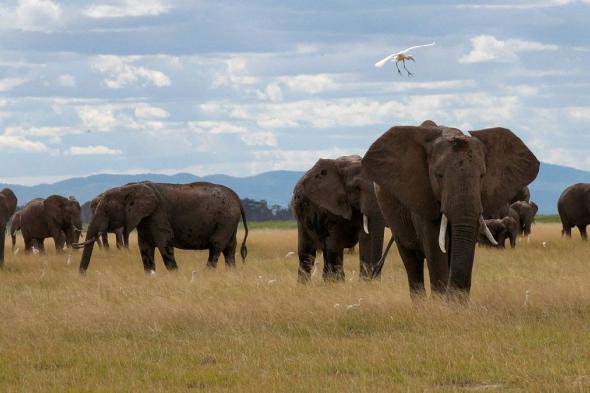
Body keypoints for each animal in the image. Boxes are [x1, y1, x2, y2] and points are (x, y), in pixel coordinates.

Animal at [75, 181, 247, 272]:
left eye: (106, 210)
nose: (82, 275)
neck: (131, 187)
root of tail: (238, 199)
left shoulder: (158, 216)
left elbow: (165, 245)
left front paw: (175, 275)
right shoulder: (144, 220)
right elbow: (144, 249)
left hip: (225, 220)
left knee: (216, 246)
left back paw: (207, 273)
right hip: (230, 222)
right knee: (229, 249)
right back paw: (231, 273)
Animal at [360, 120, 540, 298]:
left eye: (482, 176)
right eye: (438, 175)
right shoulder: (422, 197)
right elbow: (435, 246)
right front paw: (442, 302)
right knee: (411, 260)